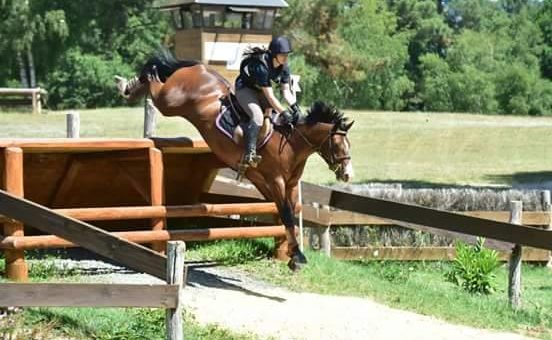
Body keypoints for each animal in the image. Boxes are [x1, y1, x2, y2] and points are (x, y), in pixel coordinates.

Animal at [117, 49, 356, 270]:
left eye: (348, 145)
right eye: (337, 145)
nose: (347, 174)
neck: (291, 142)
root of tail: (199, 67)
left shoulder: (285, 183)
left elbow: (288, 212)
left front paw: (292, 253)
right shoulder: (276, 180)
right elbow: (287, 214)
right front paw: (297, 257)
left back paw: (129, 87)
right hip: (170, 101)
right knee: (154, 80)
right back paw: (127, 85)